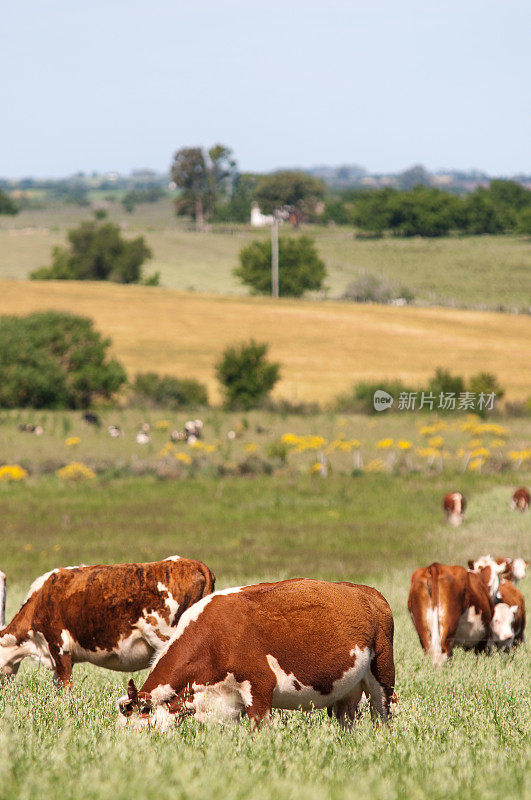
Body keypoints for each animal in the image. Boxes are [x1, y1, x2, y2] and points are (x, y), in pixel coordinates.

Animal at [118, 580, 396, 736]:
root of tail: (370, 593)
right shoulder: (224, 704)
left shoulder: (259, 687)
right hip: (347, 692)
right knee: (346, 720)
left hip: (383, 677)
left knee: (383, 715)